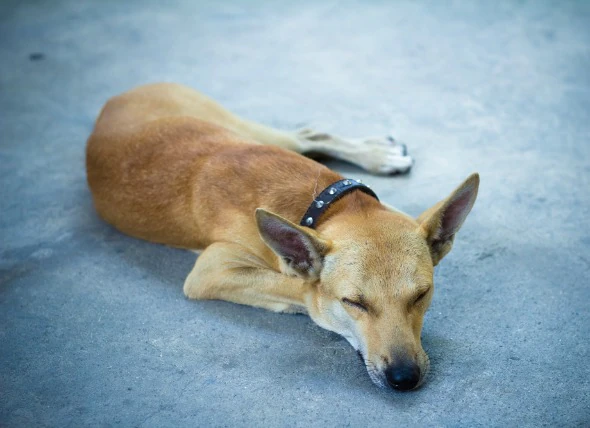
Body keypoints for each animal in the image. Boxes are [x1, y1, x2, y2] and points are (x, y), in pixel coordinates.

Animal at [86, 83, 480, 392]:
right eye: (354, 303)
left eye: (421, 294)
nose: (404, 378)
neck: (324, 201)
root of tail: (116, 98)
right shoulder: (211, 270)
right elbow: (301, 290)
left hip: (242, 125)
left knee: (309, 135)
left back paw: (375, 154)